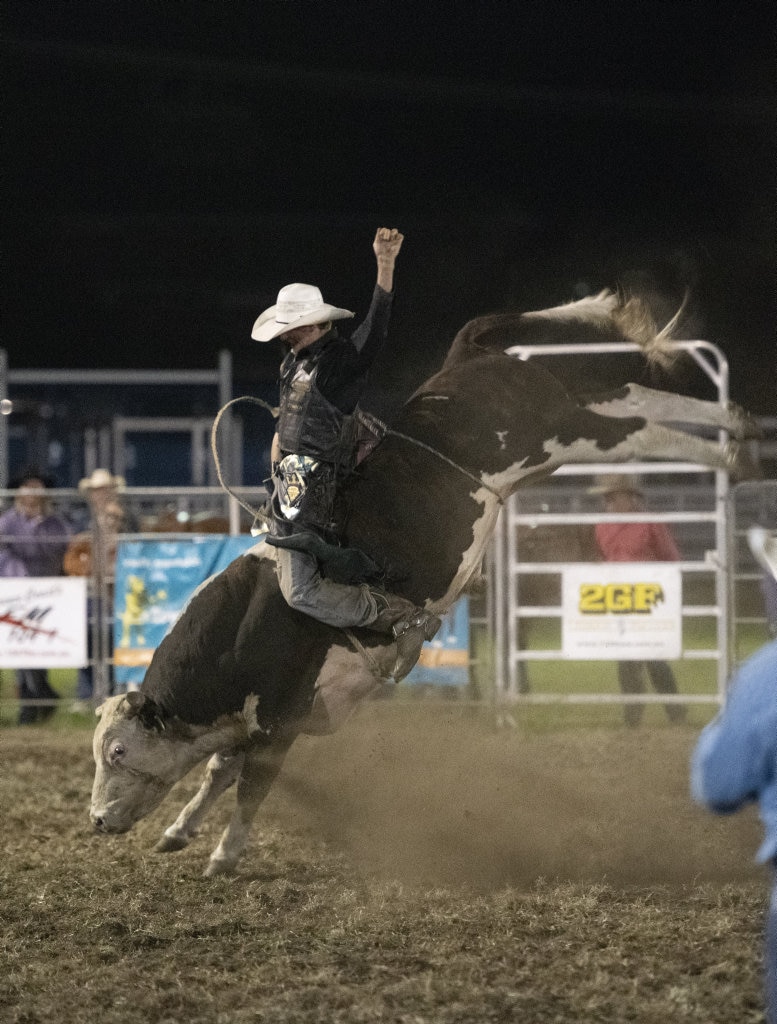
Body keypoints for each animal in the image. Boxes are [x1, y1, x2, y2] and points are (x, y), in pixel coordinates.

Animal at [89, 288, 761, 872]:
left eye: (117, 751)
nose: (95, 820)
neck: (236, 636)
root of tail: (462, 361)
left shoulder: (283, 715)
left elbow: (252, 784)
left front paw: (224, 857)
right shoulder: (250, 724)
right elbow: (217, 772)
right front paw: (178, 832)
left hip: (560, 433)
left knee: (635, 428)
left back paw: (735, 452)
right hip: (561, 423)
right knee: (634, 395)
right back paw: (737, 422)